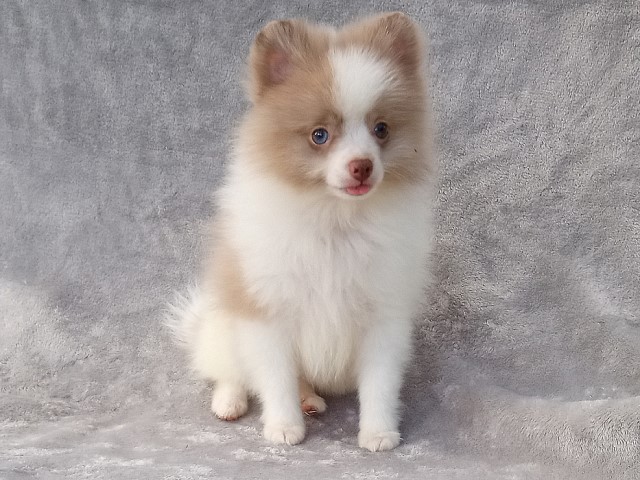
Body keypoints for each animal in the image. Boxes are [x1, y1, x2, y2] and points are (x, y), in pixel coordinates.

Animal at [168, 12, 436, 454]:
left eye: (381, 129)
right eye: (319, 135)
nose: (362, 166)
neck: (335, 219)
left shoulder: (382, 314)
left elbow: (379, 384)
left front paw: (379, 433)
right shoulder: (268, 312)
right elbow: (276, 379)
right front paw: (283, 427)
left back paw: (310, 399)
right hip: (223, 325)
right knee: (230, 371)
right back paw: (231, 402)